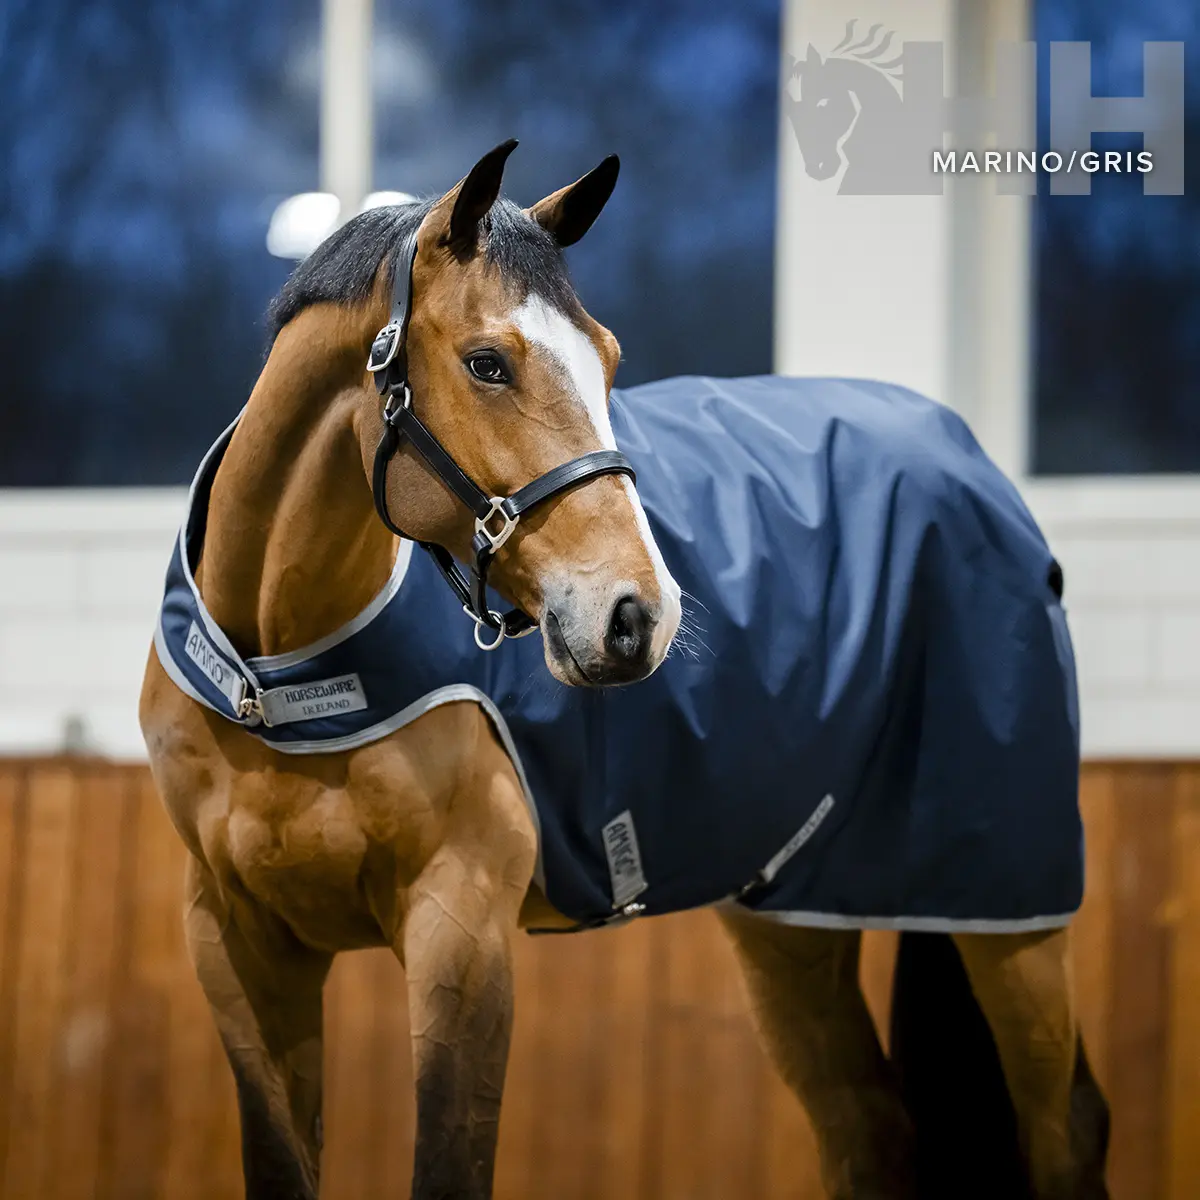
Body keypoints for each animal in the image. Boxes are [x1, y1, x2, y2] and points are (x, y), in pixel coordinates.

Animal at [140, 140, 1109, 1199]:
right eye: (487, 362)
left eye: (606, 360)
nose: (639, 615)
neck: (279, 679)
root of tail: (974, 467)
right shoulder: (239, 949)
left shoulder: (459, 928)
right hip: (794, 919)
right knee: (867, 1126)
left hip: (1008, 912)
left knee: (1063, 1130)